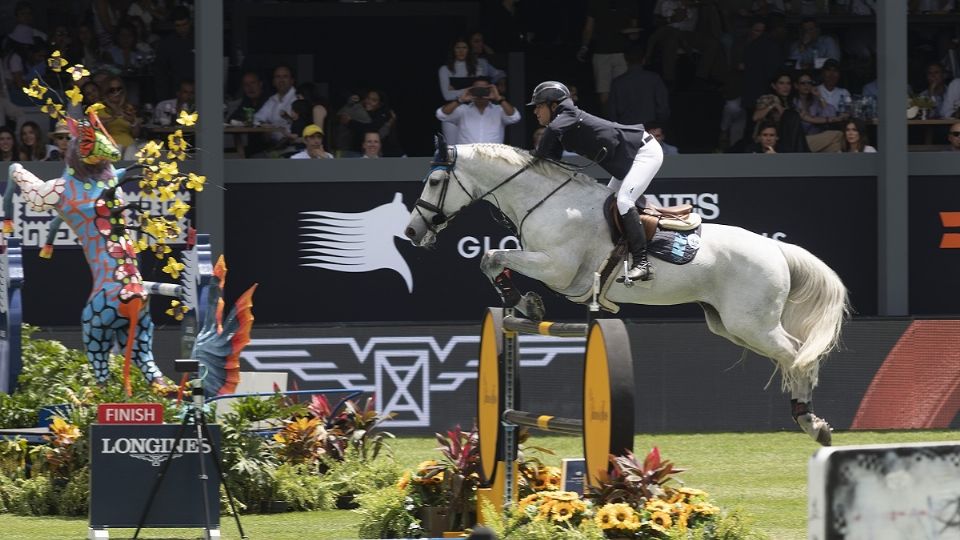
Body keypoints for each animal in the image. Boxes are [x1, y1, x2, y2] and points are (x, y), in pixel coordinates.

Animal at [404, 141, 848, 446]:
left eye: (436, 180)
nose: (411, 231)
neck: (544, 201)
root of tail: (776, 249)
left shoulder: (558, 269)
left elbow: (492, 257)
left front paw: (524, 301)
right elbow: (493, 260)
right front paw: (525, 303)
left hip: (752, 324)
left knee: (797, 354)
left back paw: (812, 423)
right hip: (730, 325)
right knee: (790, 355)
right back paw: (807, 419)